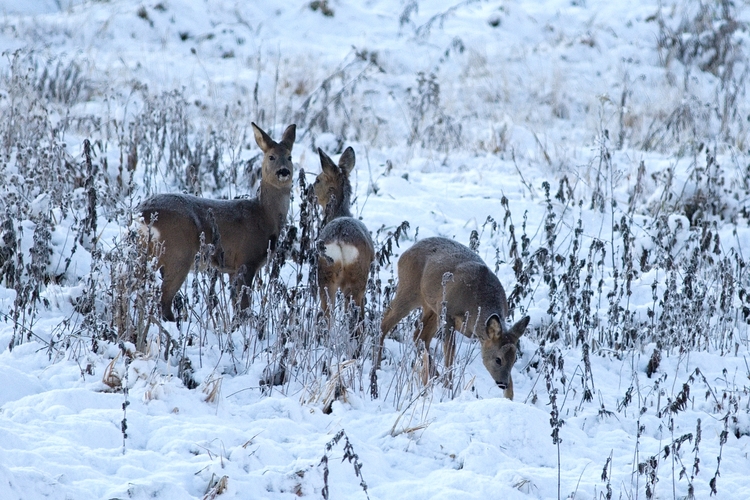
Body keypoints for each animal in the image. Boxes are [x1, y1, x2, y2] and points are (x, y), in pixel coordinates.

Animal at [140, 123, 296, 322]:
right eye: (271, 156)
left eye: (289, 157)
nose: (284, 171)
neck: (264, 215)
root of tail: (143, 214)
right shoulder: (246, 260)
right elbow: (243, 305)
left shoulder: (231, 268)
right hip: (178, 253)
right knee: (164, 300)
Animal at [312, 145, 376, 340]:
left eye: (317, 180)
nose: (309, 191)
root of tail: (340, 237)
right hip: (358, 278)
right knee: (356, 322)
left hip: (325, 275)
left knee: (325, 318)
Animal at [378, 236, 532, 400]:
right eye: (498, 359)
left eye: (514, 359)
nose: (503, 383)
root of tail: (405, 253)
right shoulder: (448, 315)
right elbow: (450, 354)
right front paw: (448, 388)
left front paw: (510, 397)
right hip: (410, 290)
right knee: (385, 322)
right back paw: (377, 366)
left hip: (431, 306)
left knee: (420, 336)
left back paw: (434, 376)